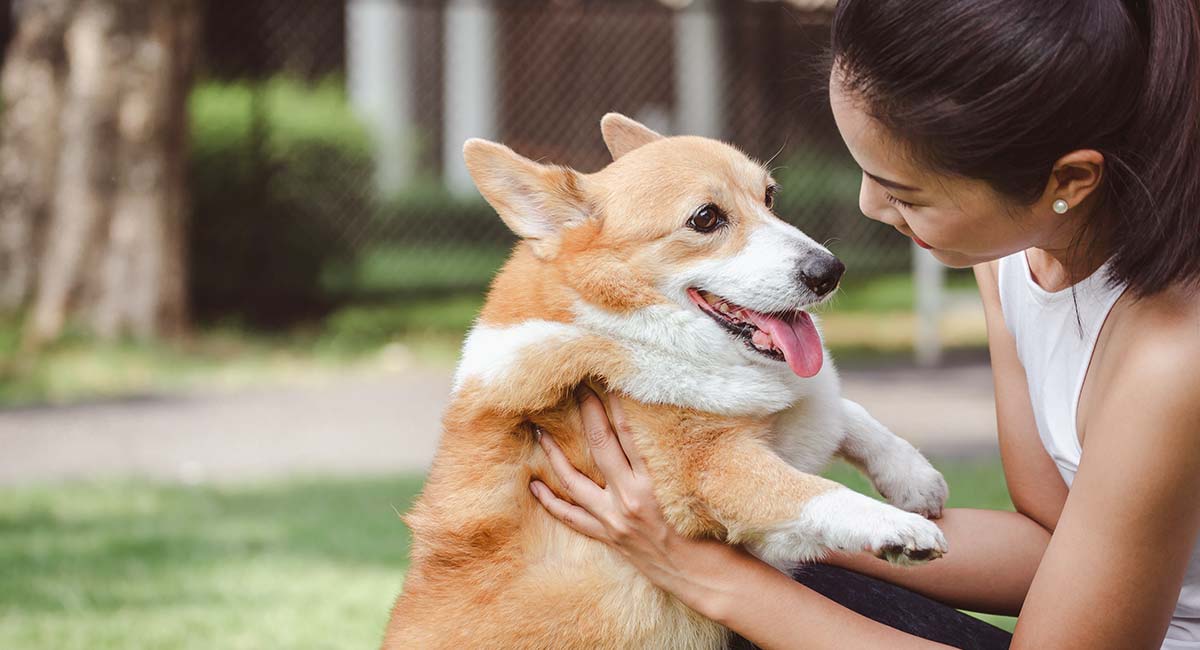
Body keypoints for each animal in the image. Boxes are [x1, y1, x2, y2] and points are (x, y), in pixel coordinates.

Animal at [384, 114, 945, 647]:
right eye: (705, 218)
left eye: (769, 196)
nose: (830, 271)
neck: (626, 325)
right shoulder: (709, 469)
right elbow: (812, 490)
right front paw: (898, 528)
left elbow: (845, 411)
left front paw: (912, 477)